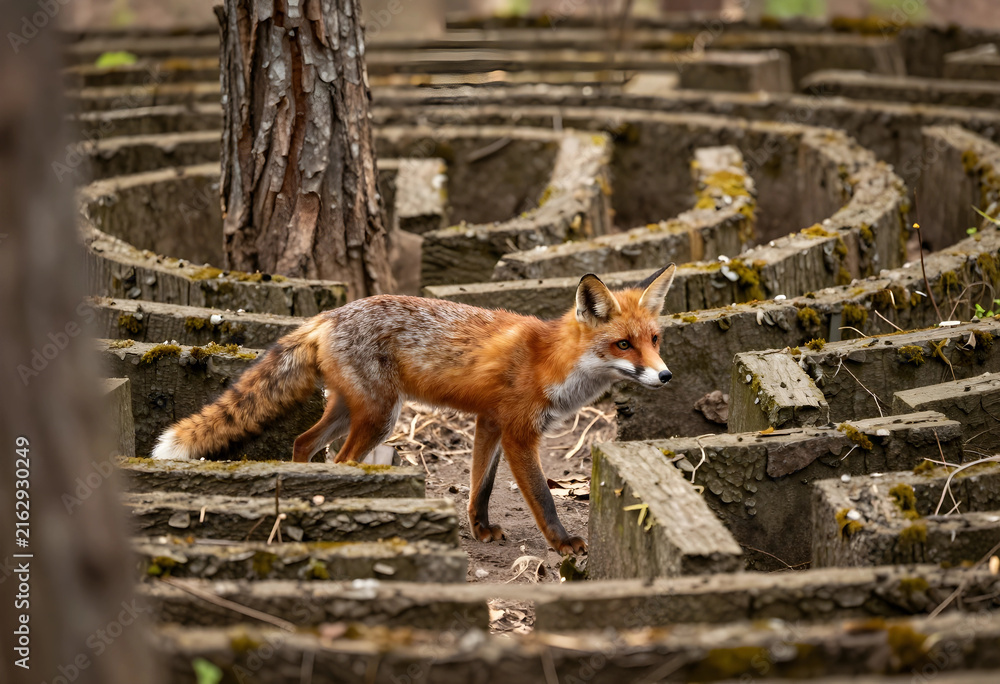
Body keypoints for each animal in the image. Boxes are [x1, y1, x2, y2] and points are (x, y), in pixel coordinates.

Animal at [151, 264, 677, 554]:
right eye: (624, 344)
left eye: (654, 340)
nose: (666, 376)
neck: (554, 362)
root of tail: (329, 314)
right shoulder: (518, 432)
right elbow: (543, 498)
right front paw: (564, 544)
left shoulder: (489, 422)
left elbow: (480, 487)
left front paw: (480, 530)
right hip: (381, 416)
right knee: (342, 460)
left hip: (354, 411)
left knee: (303, 442)